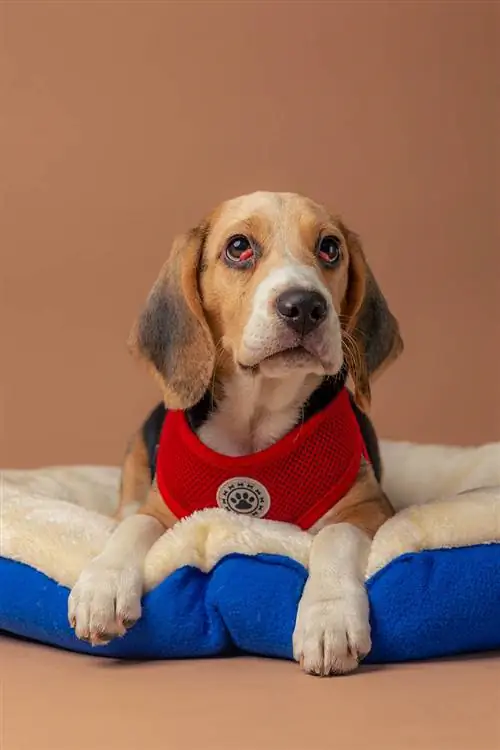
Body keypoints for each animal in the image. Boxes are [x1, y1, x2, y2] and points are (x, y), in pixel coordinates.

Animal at [68, 191, 402, 680]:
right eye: (239, 247)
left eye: (330, 249)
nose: (305, 306)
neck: (253, 422)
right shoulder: (159, 505)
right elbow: (134, 527)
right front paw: (102, 586)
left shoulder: (369, 506)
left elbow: (334, 538)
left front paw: (329, 618)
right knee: (124, 511)